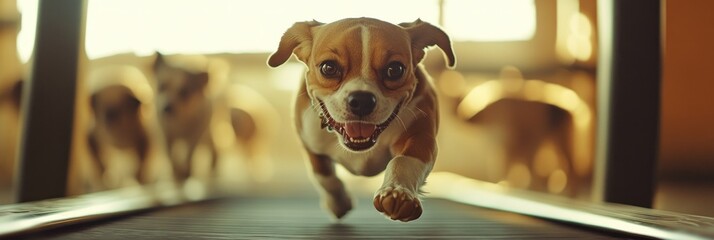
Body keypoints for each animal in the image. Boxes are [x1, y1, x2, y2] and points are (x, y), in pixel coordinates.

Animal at [268, 17, 456, 222]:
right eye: (328, 67)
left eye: (395, 69)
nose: (362, 100)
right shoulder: (310, 143)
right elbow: (325, 177)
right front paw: (339, 203)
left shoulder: (420, 137)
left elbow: (403, 161)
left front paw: (397, 192)